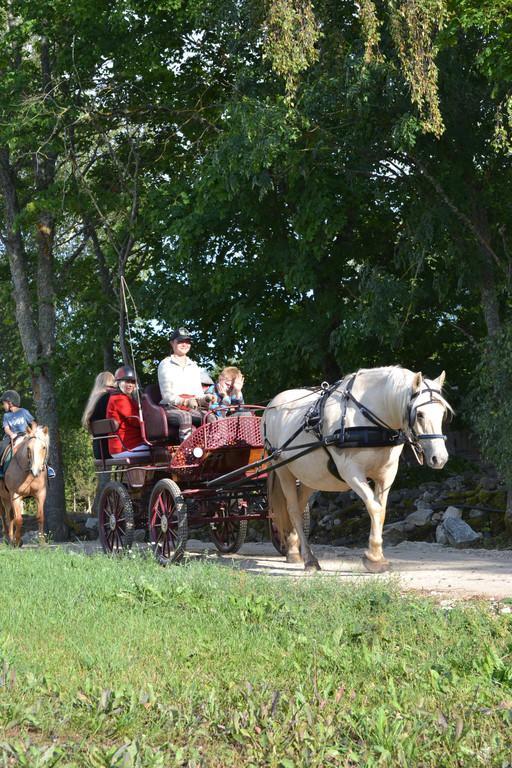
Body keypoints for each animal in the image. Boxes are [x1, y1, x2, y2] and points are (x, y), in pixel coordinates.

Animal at [264, 366, 452, 568]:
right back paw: (309, 559)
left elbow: (381, 511)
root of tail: (271, 406)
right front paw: (374, 558)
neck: (368, 419)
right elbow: (374, 507)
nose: (439, 458)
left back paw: (293, 549)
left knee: (298, 508)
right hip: (283, 469)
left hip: (310, 476)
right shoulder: (351, 472)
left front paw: (376, 555)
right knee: (292, 510)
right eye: (420, 414)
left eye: (442, 413)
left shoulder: (386, 474)